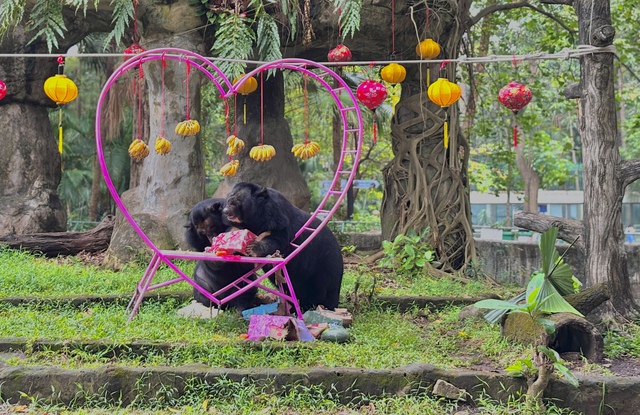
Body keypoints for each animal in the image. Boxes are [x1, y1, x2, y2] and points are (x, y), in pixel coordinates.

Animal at [224, 183, 344, 312]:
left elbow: (277, 239)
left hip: (326, 265)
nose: (226, 211)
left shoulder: (278, 219)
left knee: (325, 288)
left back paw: (326, 306)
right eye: (228, 201)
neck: (256, 220)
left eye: (236, 202)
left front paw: (252, 249)